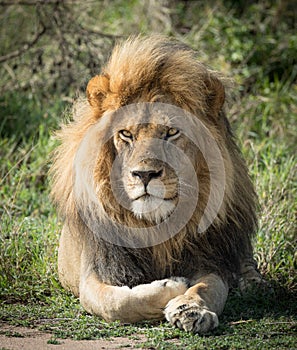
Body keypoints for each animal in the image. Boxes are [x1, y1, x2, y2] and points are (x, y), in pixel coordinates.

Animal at [50, 36, 262, 334]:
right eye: (126, 134)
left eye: (171, 132)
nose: (145, 174)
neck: (154, 226)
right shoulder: (95, 273)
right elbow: (117, 303)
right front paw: (173, 285)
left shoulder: (208, 259)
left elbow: (207, 287)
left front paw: (191, 309)